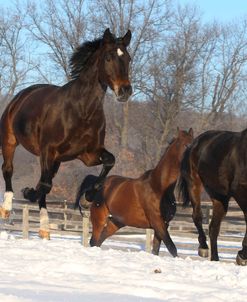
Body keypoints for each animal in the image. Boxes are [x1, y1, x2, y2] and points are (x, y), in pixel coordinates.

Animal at [0, 29, 132, 239]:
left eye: (128, 58)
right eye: (109, 57)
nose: (125, 91)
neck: (81, 110)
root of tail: (22, 95)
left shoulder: (88, 155)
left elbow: (110, 161)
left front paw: (88, 195)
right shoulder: (48, 151)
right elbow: (44, 185)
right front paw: (27, 192)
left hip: (56, 161)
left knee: (45, 183)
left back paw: (44, 228)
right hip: (10, 140)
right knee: (9, 169)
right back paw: (6, 208)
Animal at [75, 128, 193, 258]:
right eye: (186, 145)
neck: (159, 187)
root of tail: (99, 185)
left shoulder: (163, 224)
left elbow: (156, 250)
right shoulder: (158, 222)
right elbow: (172, 248)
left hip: (116, 222)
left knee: (100, 240)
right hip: (99, 219)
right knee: (94, 241)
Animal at [178, 129, 247, 266]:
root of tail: (194, 143)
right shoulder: (239, 191)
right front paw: (241, 256)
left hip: (219, 197)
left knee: (213, 227)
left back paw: (215, 258)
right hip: (194, 184)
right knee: (197, 216)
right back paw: (204, 248)